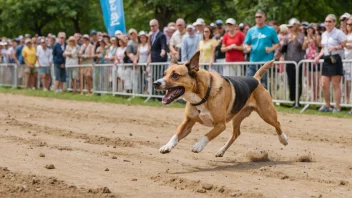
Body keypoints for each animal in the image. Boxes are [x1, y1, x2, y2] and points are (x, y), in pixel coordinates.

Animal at [153, 51, 288, 157]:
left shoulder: (220, 125)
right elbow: (176, 134)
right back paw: (221, 151)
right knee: (236, 134)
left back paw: (283, 139)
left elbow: (207, 135)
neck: (203, 96)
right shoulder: (188, 122)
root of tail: (256, 79)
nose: (155, 83)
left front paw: (198, 146)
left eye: (175, 75)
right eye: (164, 74)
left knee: (277, 124)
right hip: (237, 117)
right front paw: (167, 146)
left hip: (266, 113)